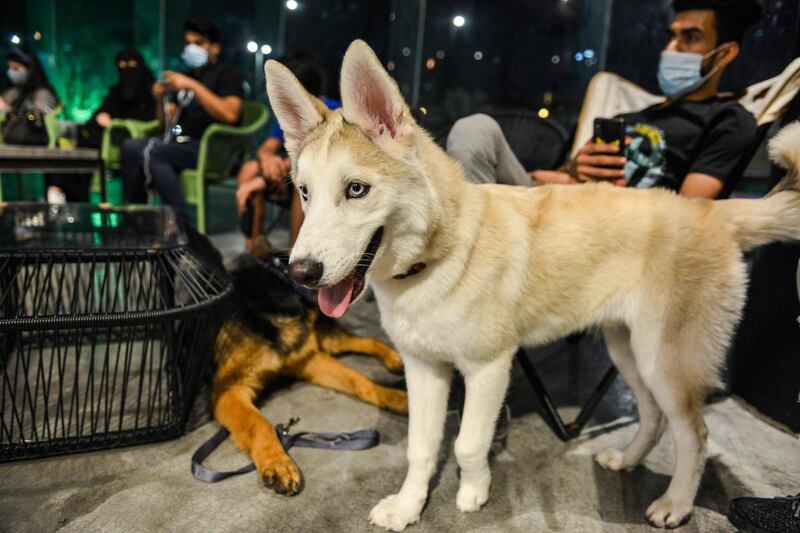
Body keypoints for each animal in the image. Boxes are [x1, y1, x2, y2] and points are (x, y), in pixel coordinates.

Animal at [266, 40, 800, 528]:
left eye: (356, 189)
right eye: (304, 193)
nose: (300, 273)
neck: (437, 259)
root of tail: (712, 212)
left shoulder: (488, 369)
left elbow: (468, 443)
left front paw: (473, 493)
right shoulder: (424, 370)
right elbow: (421, 448)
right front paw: (407, 506)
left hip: (665, 362)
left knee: (695, 436)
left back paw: (676, 504)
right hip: (627, 349)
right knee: (652, 416)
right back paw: (627, 461)